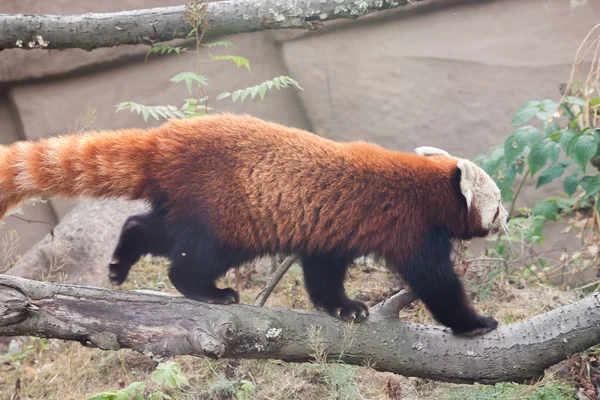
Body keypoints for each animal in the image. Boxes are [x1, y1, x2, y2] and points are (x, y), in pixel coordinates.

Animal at [0, 114, 506, 336]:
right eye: (499, 205)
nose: (506, 222)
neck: (429, 187)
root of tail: (165, 139)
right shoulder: (412, 227)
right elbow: (435, 282)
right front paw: (475, 322)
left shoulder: (329, 230)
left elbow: (323, 272)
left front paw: (342, 308)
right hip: (223, 211)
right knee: (191, 258)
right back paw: (210, 292)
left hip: (190, 201)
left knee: (151, 228)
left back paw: (120, 262)